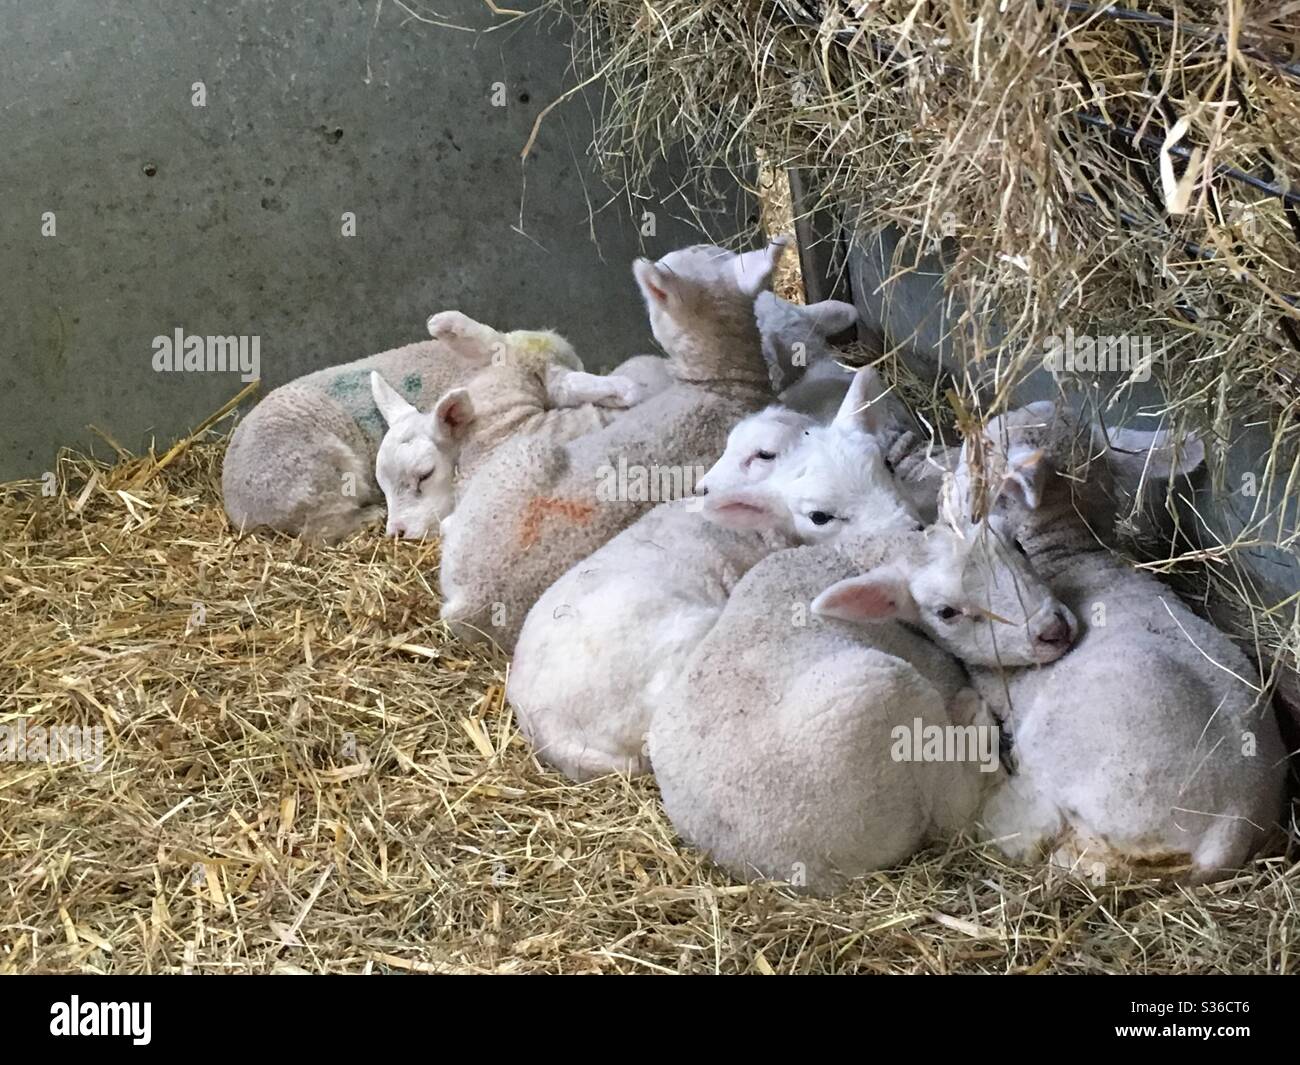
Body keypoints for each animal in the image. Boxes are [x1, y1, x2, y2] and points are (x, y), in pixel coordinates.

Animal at [647, 515, 1076, 895]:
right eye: (947, 612)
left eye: (1019, 545)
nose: (1054, 631)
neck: (857, 558)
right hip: (885, 695)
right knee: (955, 812)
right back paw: (975, 718)